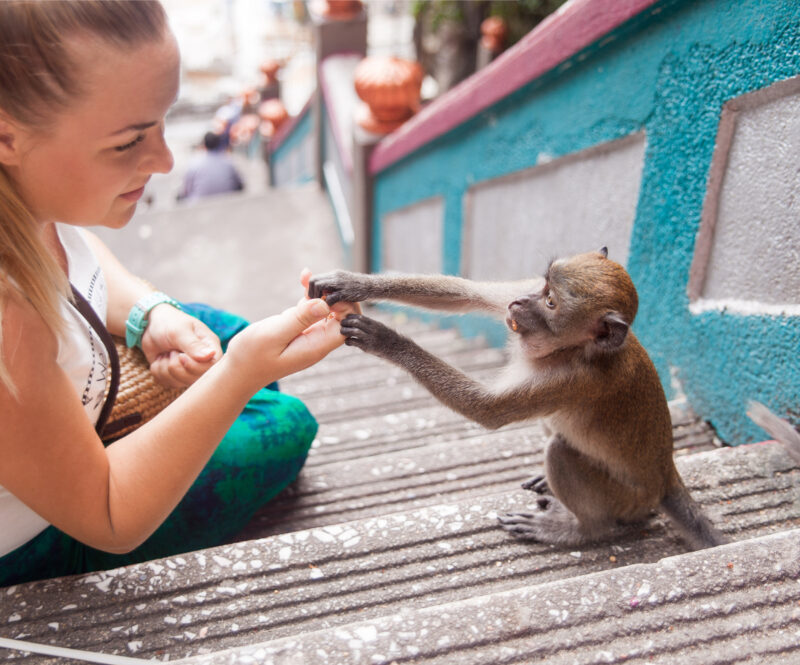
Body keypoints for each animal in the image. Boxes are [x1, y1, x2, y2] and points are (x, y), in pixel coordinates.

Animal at [308, 249, 732, 548]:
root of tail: (664, 476)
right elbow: (466, 294)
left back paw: (584, 529)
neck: (571, 350)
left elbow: (487, 410)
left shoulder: (571, 379)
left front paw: (386, 340)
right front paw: (352, 283)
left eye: (551, 303)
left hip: (627, 500)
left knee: (561, 452)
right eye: (543, 287)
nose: (520, 302)